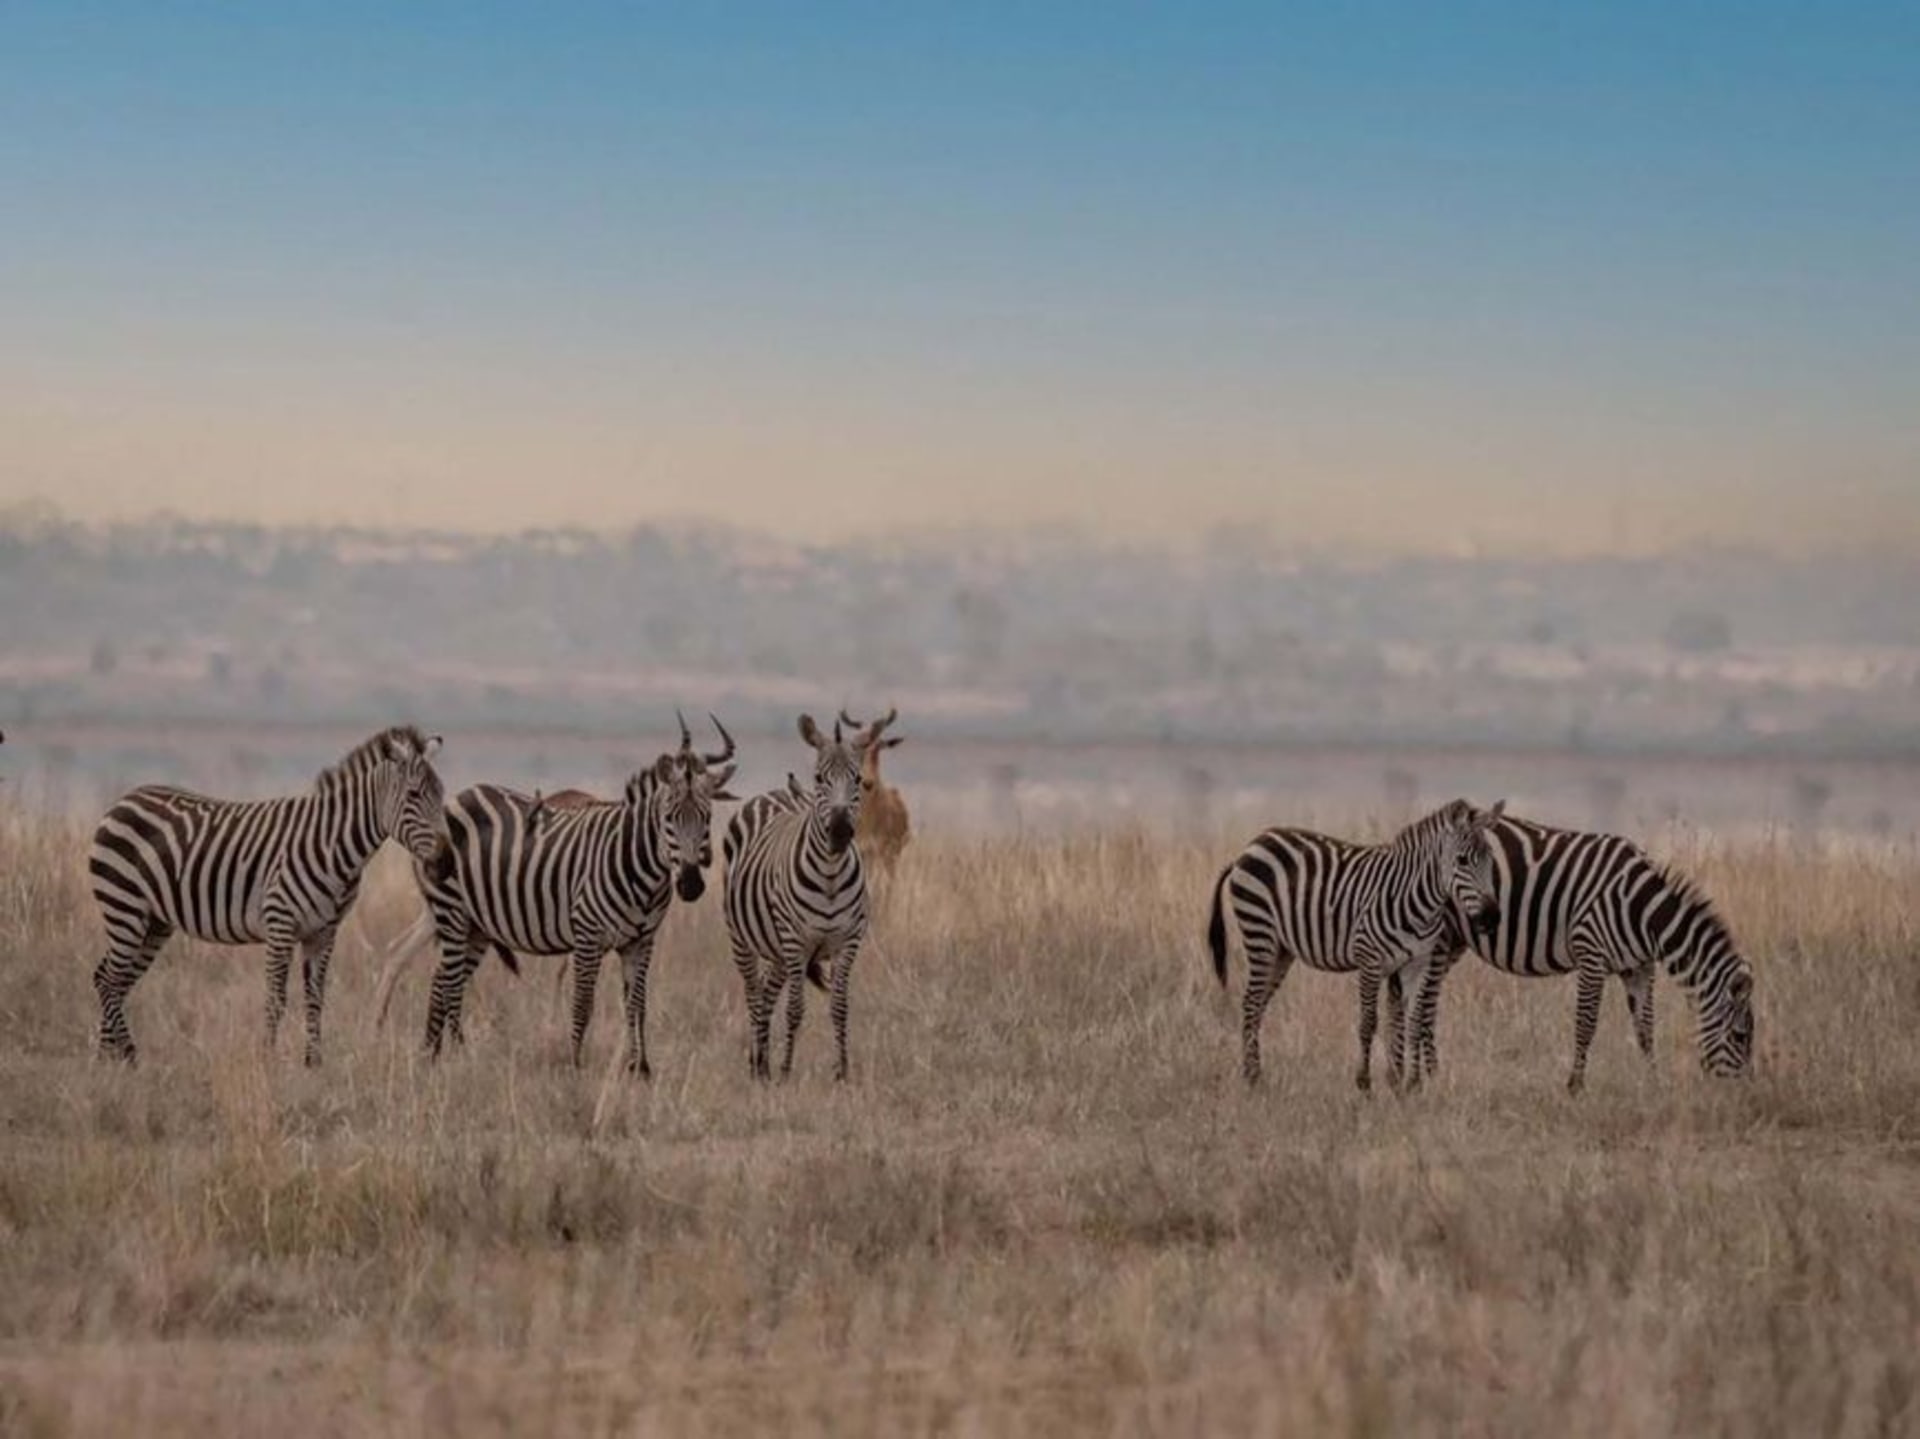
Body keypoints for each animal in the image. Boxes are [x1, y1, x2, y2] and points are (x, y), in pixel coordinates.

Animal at [88, 725, 453, 1066]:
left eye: (442, 794)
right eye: (414, 794)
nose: (447, 861)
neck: (331, 845)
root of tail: (124, 800)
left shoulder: (324, 932)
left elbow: (315, 998)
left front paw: (313, 1064)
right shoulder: (281, 924)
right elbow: (276, 1000)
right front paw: (268, 1060)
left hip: (154, 923)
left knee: (114, 980)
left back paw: (110, 1059)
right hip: (125, 907)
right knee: (108, 979)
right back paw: (127, 1058)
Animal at [417, 714, 738, 1077]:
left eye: (708, 817)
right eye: (668, 818)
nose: (692, 884)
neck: (641, 869)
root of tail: (458, 797)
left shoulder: (641, 941)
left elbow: (637, 1005)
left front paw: (640, 1068)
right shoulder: (588, 935)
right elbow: (584, 1004)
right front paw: (575, 1065)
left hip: (477, 927)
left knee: (442, 981)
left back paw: (435, 1057)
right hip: (452, 911)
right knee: (448, 984)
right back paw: (448, 1056)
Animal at [724, 707, 896, 1081]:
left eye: (858, 780)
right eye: (819, 778)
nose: (840, 831)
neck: (830, 876)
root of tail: (778, 792)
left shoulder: (849, 940)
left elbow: (840, 1005)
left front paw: (842, 1071)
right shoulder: (795, 941)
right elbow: (795, 1008)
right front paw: (787, 1071)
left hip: (777, 952)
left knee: (767, 994)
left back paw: (763, 1064)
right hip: (744, 939)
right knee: (754, 994)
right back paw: (758, 1065)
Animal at [1204, 799, 1506, 1089]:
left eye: (1491, 862)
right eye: (1462, 860)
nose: (1492, 917)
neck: (1420, 903)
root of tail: (1252, 845)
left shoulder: (1417, 963)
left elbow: (1414, 1021)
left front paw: (1413, 1084)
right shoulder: (1369, 959)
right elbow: (1368, 1022)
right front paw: (1364, 1082)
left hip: (1281, 951)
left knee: (1258, 1005)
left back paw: (1254, 1074)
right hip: (1260, 933)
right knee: (1250, 1003)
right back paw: (1253, 1079)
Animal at [1386, 813, 1757, 1093]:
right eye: (1740, 1037)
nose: (1742, 1095)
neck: (1643, 911)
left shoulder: (1639, 967)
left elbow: (1645, 1027)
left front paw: (1653, 1083)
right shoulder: (1591, 953)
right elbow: (1586, 1022)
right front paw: (1575, 1086)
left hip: (1454, 941)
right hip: (1440, 939)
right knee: (1426, 1004)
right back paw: (1429, 1076)